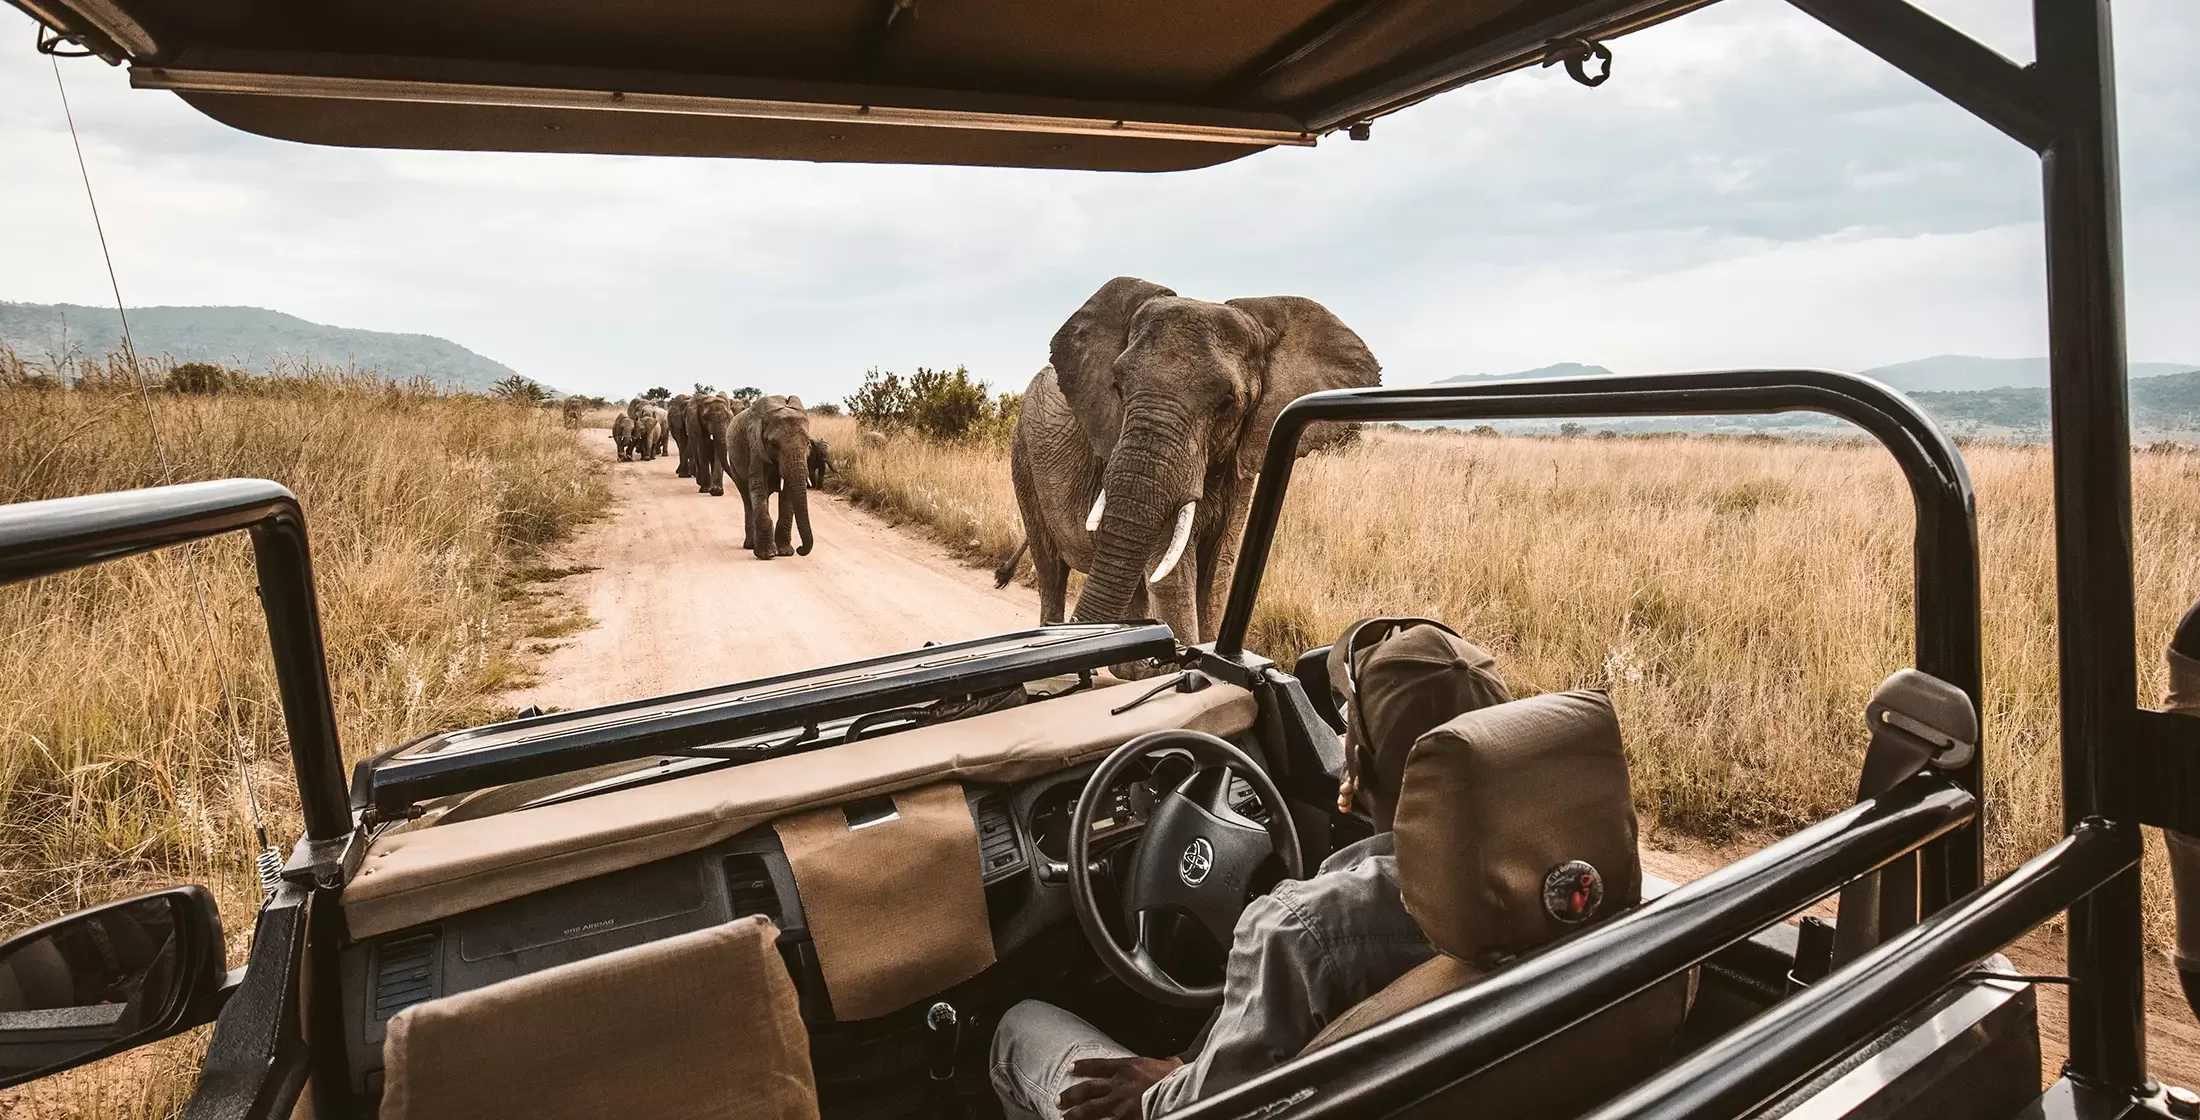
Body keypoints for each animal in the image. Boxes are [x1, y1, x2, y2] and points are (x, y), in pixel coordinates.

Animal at [730, 394, 816, 559]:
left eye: (808, 442)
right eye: (773, 444)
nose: (801, 549)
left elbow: (787, 493)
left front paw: (785, 553)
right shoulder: (755, 447)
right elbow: (758, 487)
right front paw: (766, 555)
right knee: (747, 498)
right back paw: (750, 545)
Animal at [1004, 276, 1380, 646]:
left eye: (1228, 402)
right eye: (1118, 387)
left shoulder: (1242, 462)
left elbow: (1217, 574)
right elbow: (1172, 579)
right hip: (1023, 458)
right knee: (1051, 570)